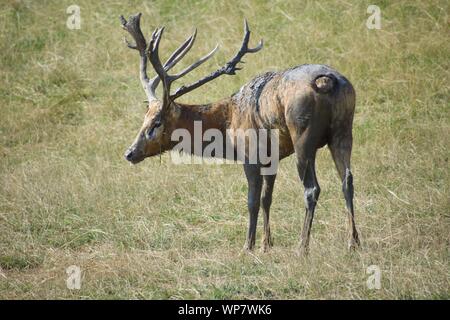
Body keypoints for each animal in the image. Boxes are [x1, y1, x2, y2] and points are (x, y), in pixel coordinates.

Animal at [120, 13, 362, 256]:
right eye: (143, 119)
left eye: (156, 122)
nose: (129, 153)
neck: (229, 123)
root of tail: (326, 81)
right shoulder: (271, 157)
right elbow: (267, 198)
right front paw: (266, 244)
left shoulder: (250, 154)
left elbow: (252, 200)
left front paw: (248, 246)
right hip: (343, 130)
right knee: (347, 180)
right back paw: (353, 242)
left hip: (303, 135)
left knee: (312, 188)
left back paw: (302, 247)